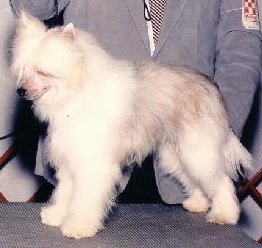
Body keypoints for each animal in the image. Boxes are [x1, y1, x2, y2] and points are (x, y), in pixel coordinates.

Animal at [11, 14, 252, 238]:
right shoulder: (72, 160)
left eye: (42, 71)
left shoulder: (92, 164)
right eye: (24, 68)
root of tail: (210, 88)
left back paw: (225, 214)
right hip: (177, 153)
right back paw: (197, 203)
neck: (77, 93)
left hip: (198, 149)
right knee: (196, 180)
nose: (21, 91)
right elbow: (65, 193)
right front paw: (57, 215)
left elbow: (84, 198)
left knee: (221, 182)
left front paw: (78, 226)